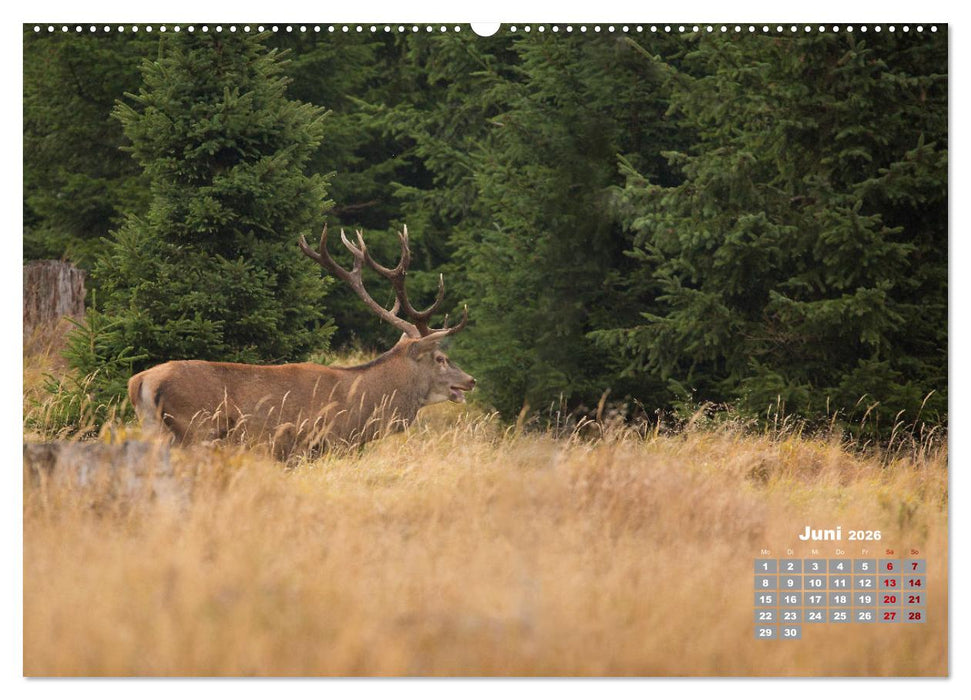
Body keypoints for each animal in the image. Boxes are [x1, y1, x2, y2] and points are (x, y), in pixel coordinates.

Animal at [127, 224, 475, 460]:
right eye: (441, 358)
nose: (471, 379)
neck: (362, 407)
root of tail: (140, 381)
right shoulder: (321, 444)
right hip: (194, 430)